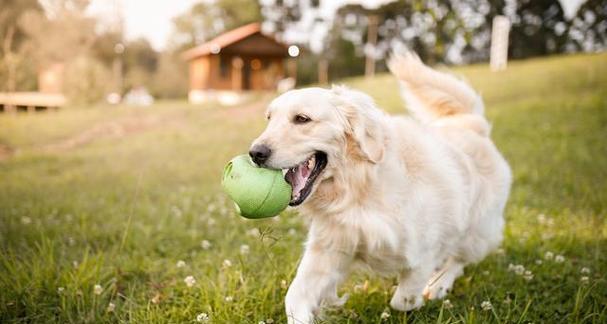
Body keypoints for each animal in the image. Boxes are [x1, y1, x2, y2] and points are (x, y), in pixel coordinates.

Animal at [248, 51, 512, 324]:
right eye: (269, 119)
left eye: (302, 119)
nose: (255, 153)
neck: (358, 189)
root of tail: (472, 124)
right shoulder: (328, 250)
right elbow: (294, 297)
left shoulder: (423, 253)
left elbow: (403, 299)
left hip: (478, 231)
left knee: (458, 259)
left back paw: (438, 285)